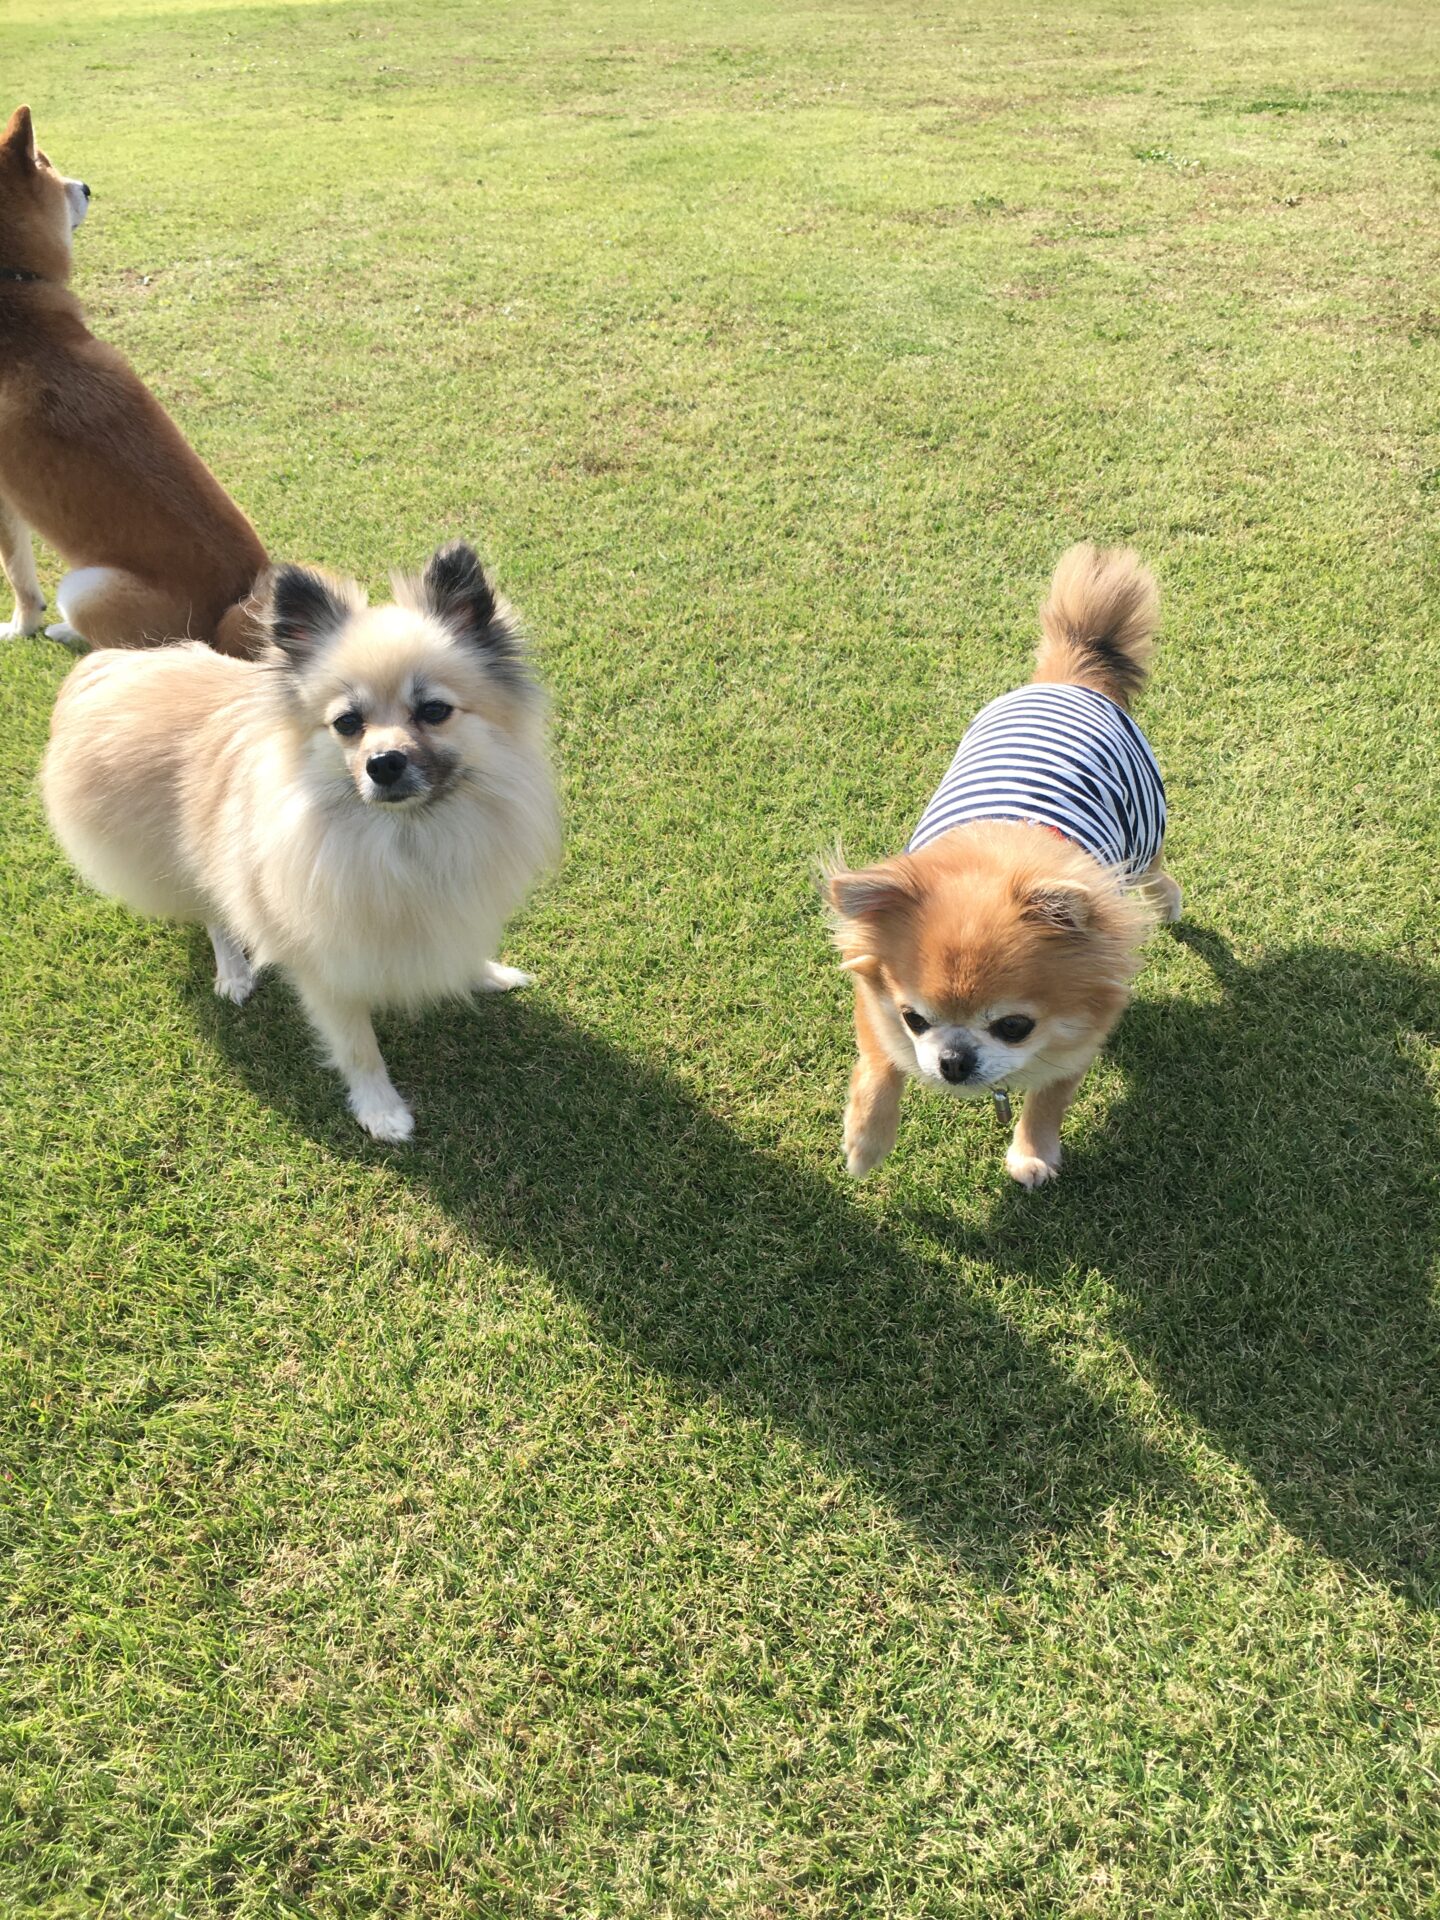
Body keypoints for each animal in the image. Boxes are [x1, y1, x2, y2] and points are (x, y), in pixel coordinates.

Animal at [0, 104, 267, 654]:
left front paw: (20, 627)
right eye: (48, 161)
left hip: (85, 586)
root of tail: (229, 615)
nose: (86, 186)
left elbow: (18, 579)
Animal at [42, 540, 560, 1140]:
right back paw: (234, 972)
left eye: (434, 711)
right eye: (347, 723)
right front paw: (380, 1110)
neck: (405, 835)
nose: (384, 763)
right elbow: (358, 1046)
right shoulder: (325, 964)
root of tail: (109, 667)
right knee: (214, 912)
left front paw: (485, 974)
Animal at [827, 543, 1181, 1188]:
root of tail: (1070, 678)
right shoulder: (875, 1005)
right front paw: (866, 1143)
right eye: (914, 1019)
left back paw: (1166, 900)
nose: (952, 1061)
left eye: (1014, 1026)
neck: (1006, 850)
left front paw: (1033, 1153)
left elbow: (1047, 1098)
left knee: (1153, 871)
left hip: (1143, 835)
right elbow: (879, 1068)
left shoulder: (1075, 1043)